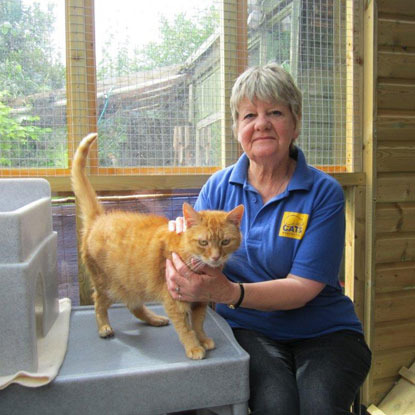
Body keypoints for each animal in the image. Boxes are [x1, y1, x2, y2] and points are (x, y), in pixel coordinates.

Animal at [71, 134, 244, 360]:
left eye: (225, 242)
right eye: (203, 242)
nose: (215, 257)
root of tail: (99, 218)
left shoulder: (200, 300)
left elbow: (198, 323)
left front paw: (203, 339)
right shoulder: (175, 300)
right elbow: (186, 328)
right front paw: (194, 347)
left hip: (133, 285)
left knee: (134, 306)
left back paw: (154, 319)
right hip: (109, 286)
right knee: (98, 303)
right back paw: (104, 327)